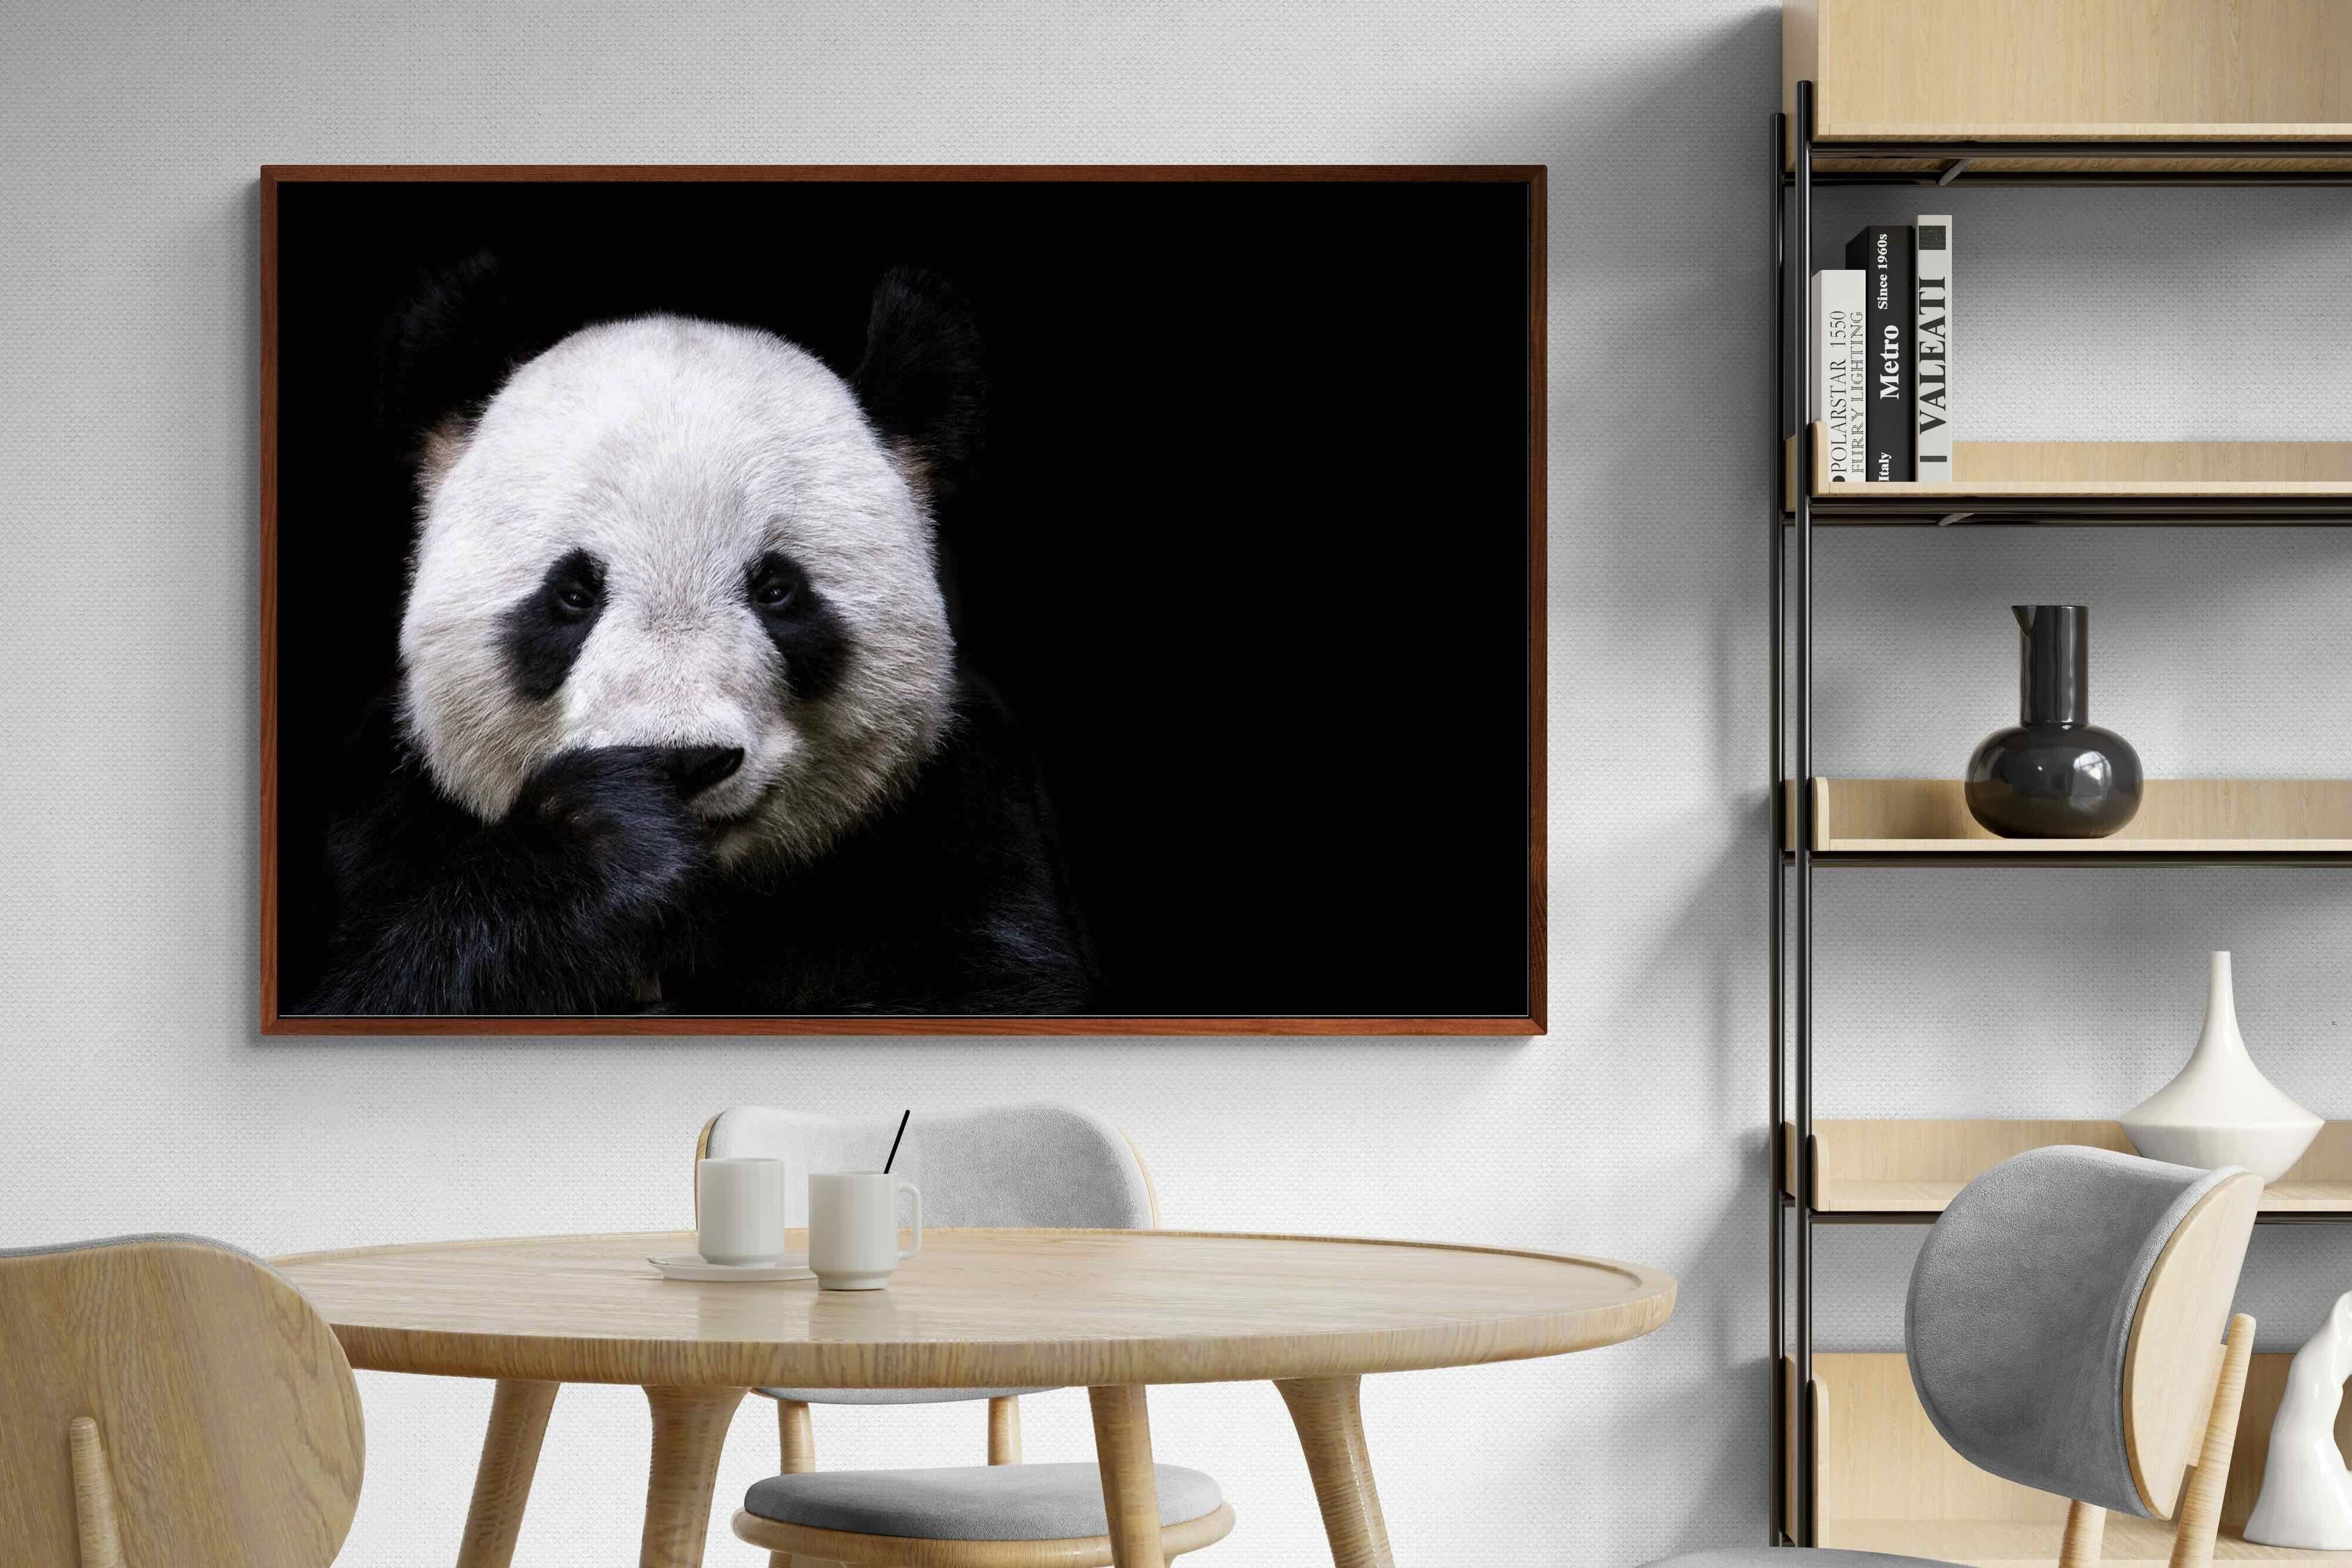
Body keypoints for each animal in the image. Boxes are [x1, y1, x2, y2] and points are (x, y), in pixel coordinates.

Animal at [305, 265, 1095, 1016]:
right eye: (573, 595)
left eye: (776, 590)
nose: (682, 761)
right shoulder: (384, 819)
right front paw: (604, 841)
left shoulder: (959, 817)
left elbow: (992, 987)